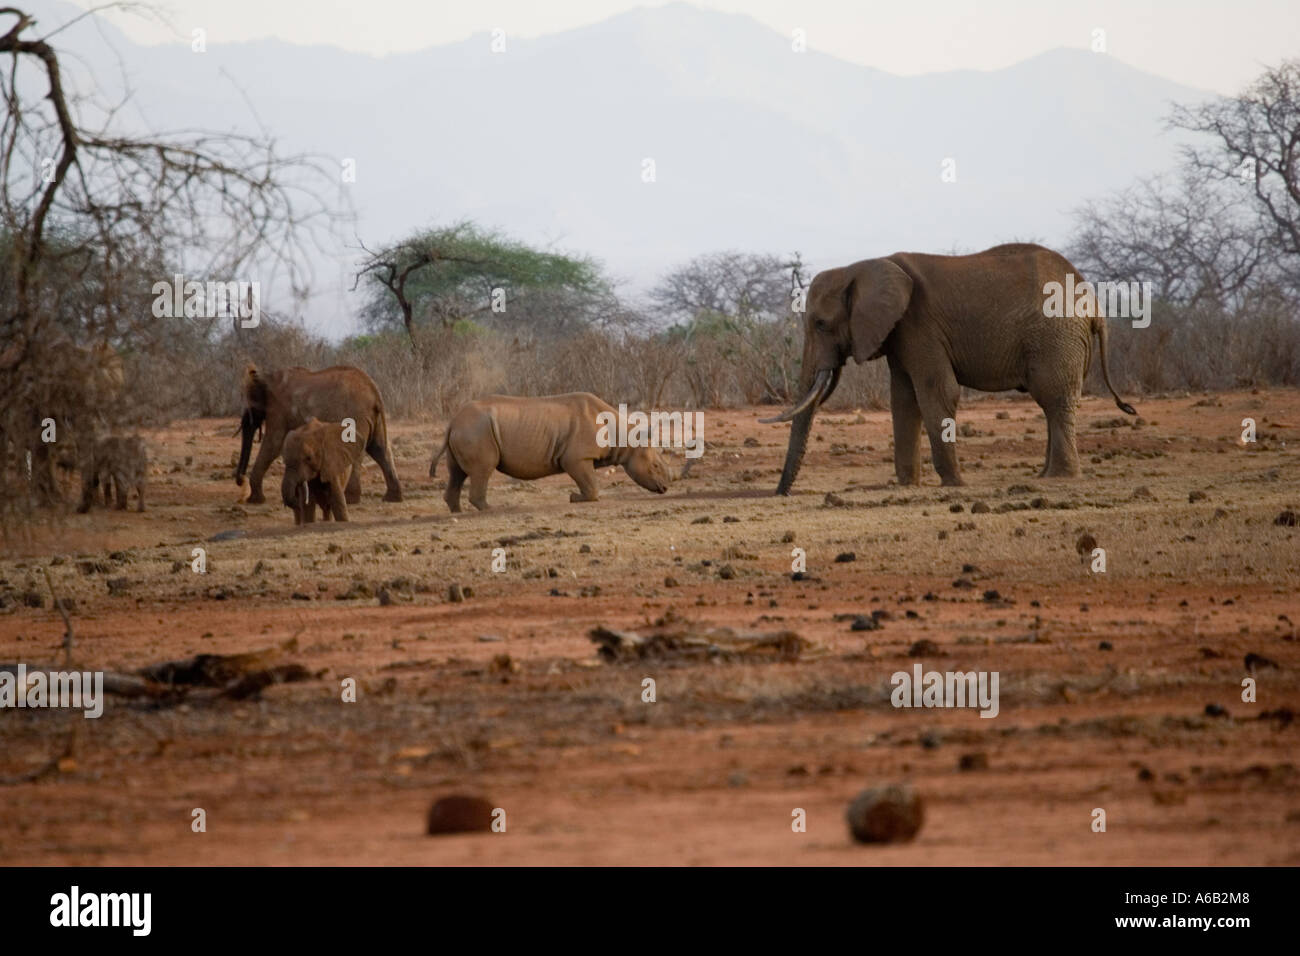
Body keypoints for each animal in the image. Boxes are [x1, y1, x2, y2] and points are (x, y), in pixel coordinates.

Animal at [233, 361, 403, 504]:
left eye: (249, 407)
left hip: (356, 416)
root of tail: (375, 392)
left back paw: (350, 500)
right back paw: (392, 498)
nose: (240, 481)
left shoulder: (278, 409)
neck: (266, 376)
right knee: (380, 449)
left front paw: (255, 501)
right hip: (374, 418)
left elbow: (274, 444)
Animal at [434, 390, 681, 512]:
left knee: (457, 472)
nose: (665, 488)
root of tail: (453, 421)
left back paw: (457, 511)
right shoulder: (577, 457)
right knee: (483, 470)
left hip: (469, 428)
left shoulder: (579, 457)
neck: (624, 435)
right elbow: (592, 487)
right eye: (655, 466)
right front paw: (574, 498)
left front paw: (574, 497)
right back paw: (490, 509)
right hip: (476, 429)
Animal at [764, 244, 1133, 494]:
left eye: (821, 324)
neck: (860, 266)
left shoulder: (919, 325)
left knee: (1054, 399)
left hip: (1056, 336)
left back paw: (1058, 478)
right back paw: (1044, 476)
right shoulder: (899, 332)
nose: (781, 494)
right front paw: (907, 485)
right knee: (1053, 404)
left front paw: (954, 484)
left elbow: (937, 390)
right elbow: (904, 399)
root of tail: (1093, 303)